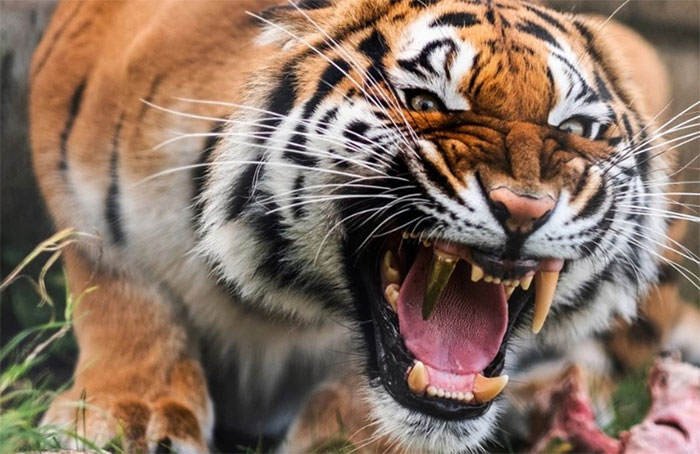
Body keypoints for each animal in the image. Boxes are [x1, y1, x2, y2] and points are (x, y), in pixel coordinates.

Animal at [30, 0, 692, 452]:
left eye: (575, 128)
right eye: (425, 104)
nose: (525, 207)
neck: (262, 311)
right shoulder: (73, 172)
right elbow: (122, 293)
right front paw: (128, 418)